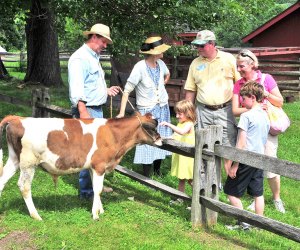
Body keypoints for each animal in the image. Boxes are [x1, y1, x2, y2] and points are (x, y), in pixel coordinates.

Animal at [0, 112, 162, 220]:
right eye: (152, 127)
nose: (161, 140)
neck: (113, 134)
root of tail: (17, 118)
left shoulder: (92, 167)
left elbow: (96, 188)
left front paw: (99, 209)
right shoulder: (100, 165)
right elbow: (98, 189)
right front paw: (96, 215)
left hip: (14, 159)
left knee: (2, 180)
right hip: (28, 163)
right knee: (24, 186)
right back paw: (36, 215)